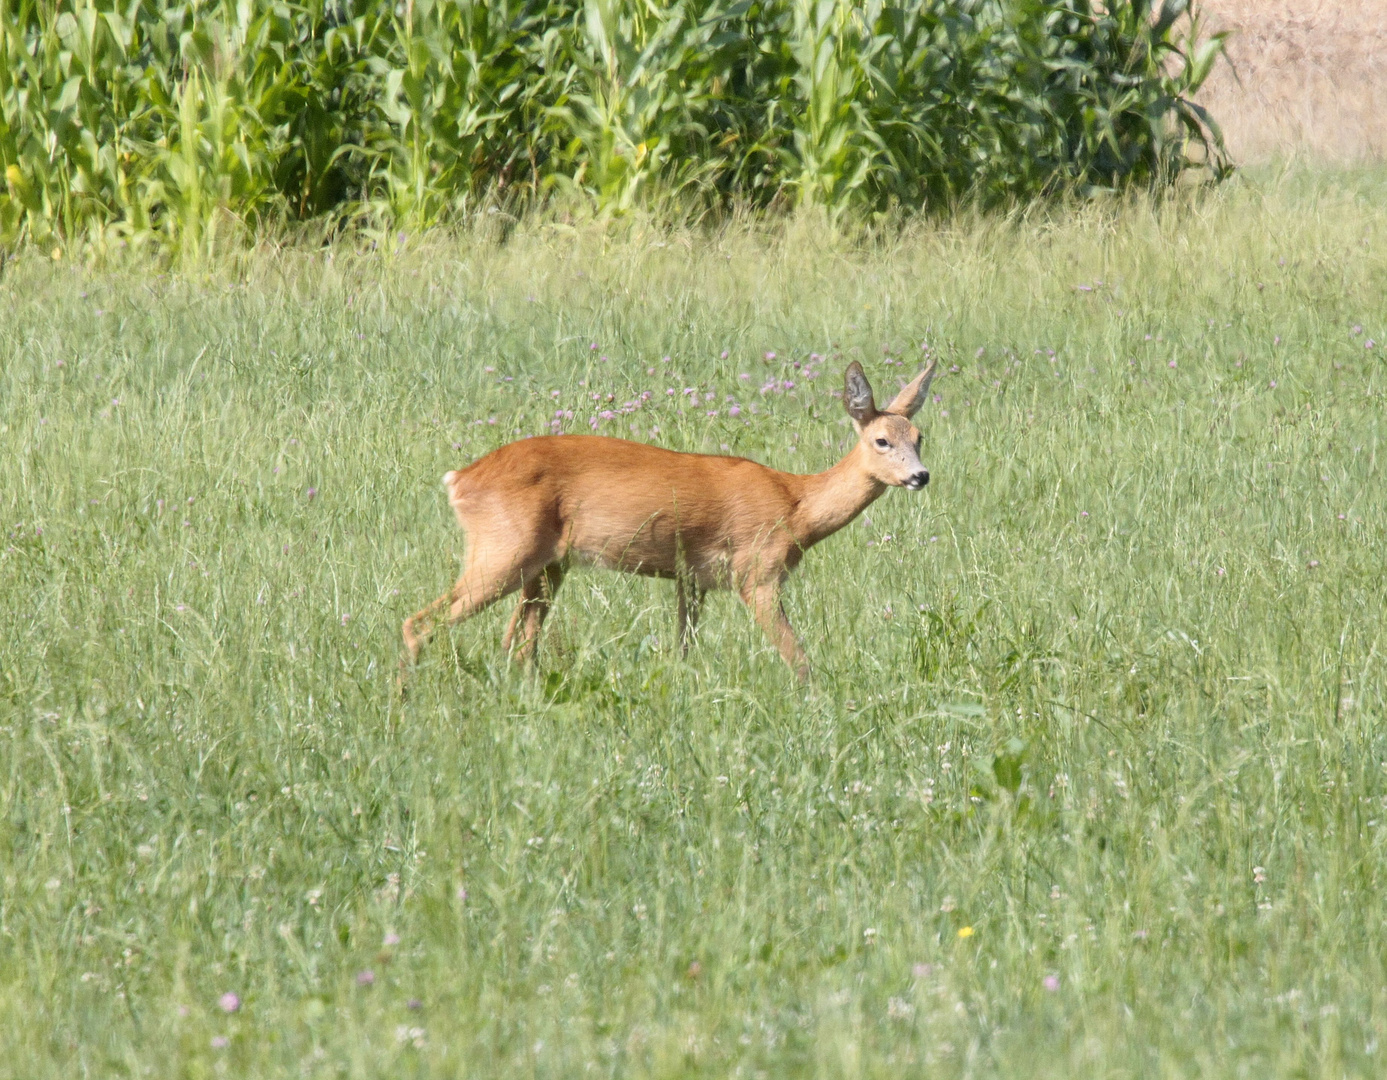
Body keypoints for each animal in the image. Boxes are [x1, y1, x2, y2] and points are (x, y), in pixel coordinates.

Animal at [405, 363, 937, 684]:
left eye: (919, 436)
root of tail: (459, 479)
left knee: (518, 642)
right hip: (503, 548)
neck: (796, 505)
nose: (920, 476)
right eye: (882, 440)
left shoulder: (691, 578)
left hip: (548, 564)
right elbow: (798, 657)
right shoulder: (756, 572)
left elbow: (684, 649)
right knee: (420, 622)